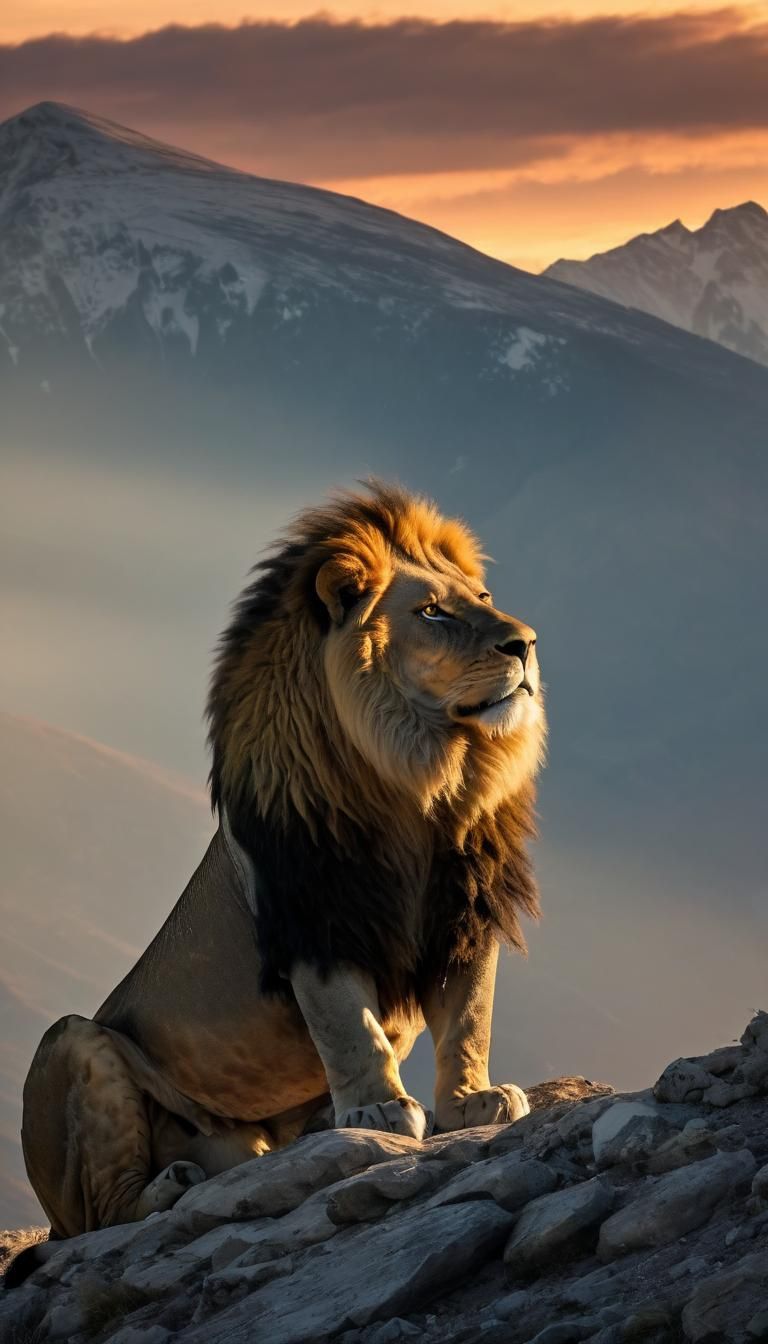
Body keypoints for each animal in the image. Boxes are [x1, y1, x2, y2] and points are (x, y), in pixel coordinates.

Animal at [14, 482, 545, 1272]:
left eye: (482, 598)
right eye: (431, 612)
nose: (525, 644)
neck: (425, 781)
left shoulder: (466, 915)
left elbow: (468, 1019)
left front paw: (470, 1104)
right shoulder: (314, 916)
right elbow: (350, 1027)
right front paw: (378, 1109)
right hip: (71, 1043)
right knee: (99, 1218)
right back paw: (171, 1185)